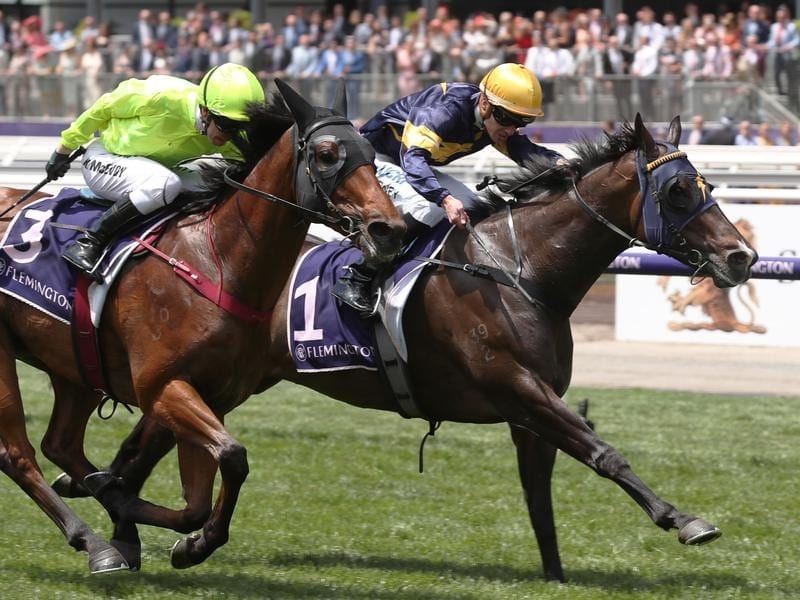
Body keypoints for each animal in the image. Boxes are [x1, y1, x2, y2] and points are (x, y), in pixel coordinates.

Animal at [0, 78, 406, 572]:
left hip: (73, 363)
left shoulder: (211, 395)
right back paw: (93, 541)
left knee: (60, 444)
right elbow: (232, 456)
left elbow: (197, 499)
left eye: (369, 151)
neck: (219, 262)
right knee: (17, 454)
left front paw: (177, 535)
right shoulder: (163, 386)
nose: (389, 229)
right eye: (327, 153)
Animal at [50, 115, 756, 580]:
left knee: (141, 448)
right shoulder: (517, 387)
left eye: (707, 184)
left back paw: (117, 519)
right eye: (678, 191)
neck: (516, 270)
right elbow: (604, 453)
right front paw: (685, 520)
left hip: (219, 378)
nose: (741, 256)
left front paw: (556, 576)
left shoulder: (530, 409)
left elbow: (541, 497)